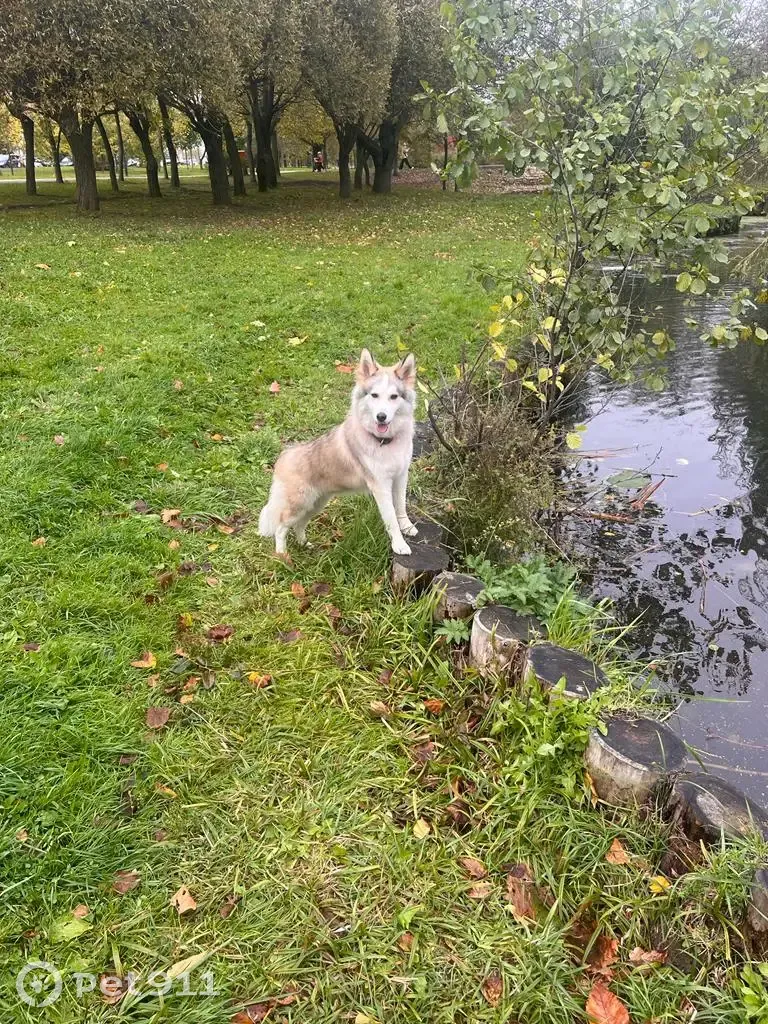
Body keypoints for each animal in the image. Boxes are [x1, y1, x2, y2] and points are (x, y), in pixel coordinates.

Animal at [259, 352, 417, 561]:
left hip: (316, 504)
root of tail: (285, 455)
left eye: (394, 397)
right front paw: (399, 544)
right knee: (281, 527)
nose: (381, 417)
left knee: (299, 525)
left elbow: (401, 507)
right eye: (374, 395)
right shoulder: (380, 486)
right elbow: (391, 518)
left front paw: (407, 527)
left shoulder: (400, 477)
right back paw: (282, 556)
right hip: (299, 505)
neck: (384, 441)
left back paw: (305, 544)